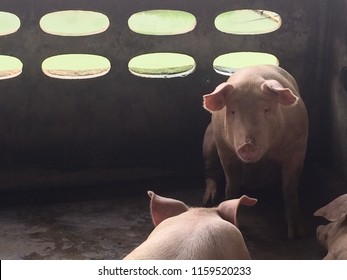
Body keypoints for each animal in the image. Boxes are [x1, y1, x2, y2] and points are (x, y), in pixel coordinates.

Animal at [204, 64, 310, 237]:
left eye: (266, 109)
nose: (247, 145)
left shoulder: (298, 150)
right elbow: (231, 185)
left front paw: (296, 235)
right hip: (209, 143)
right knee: (210, 170)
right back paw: (208, 201)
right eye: (233, 111)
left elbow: (289, 189)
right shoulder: (225, 152)